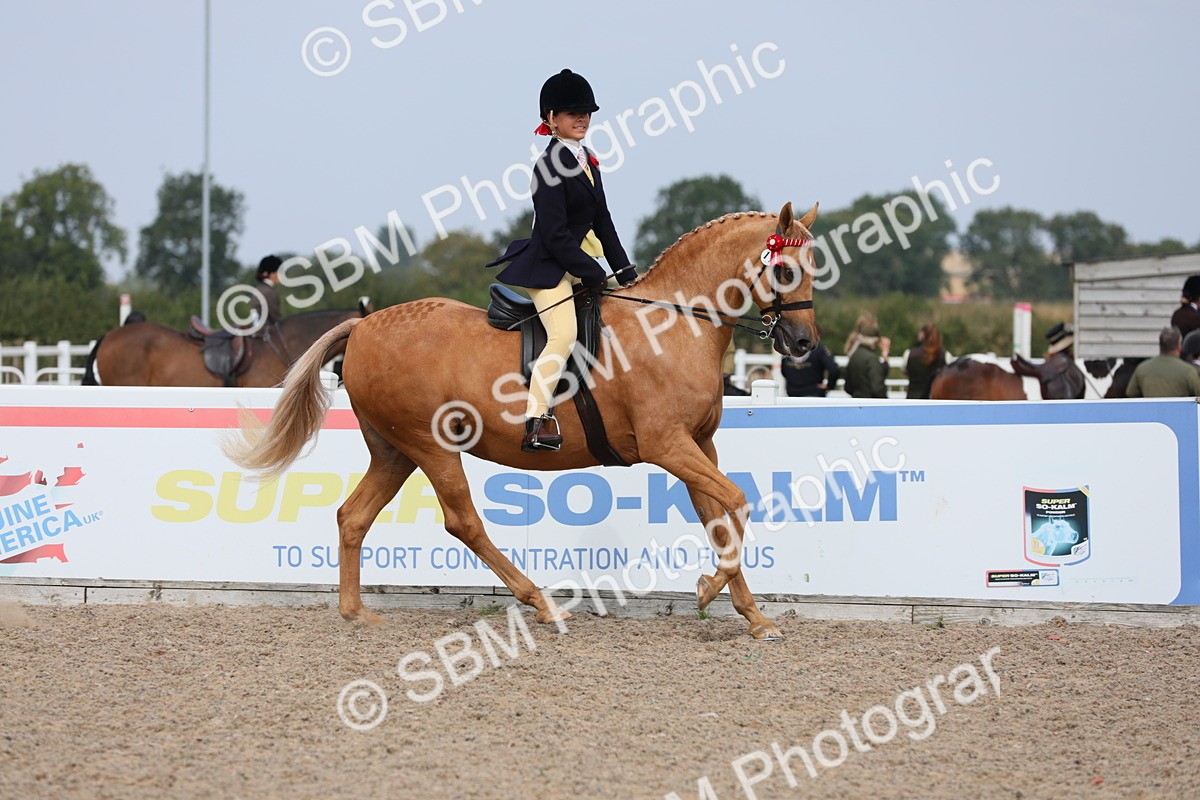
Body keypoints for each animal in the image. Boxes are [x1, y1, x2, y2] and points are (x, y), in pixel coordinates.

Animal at [223, 203, 819, 640]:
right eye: (785, 269)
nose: (803, 345)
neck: (673, 323)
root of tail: (364, 327)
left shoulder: (699, 446)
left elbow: (720, 518)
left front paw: (754, 617)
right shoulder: (667, 445)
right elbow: (737, 501)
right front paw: (707, 589)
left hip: (394, 451)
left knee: (353, 516)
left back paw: (356, 613)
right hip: (430, 447)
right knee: (463, 523)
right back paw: (543, 605)